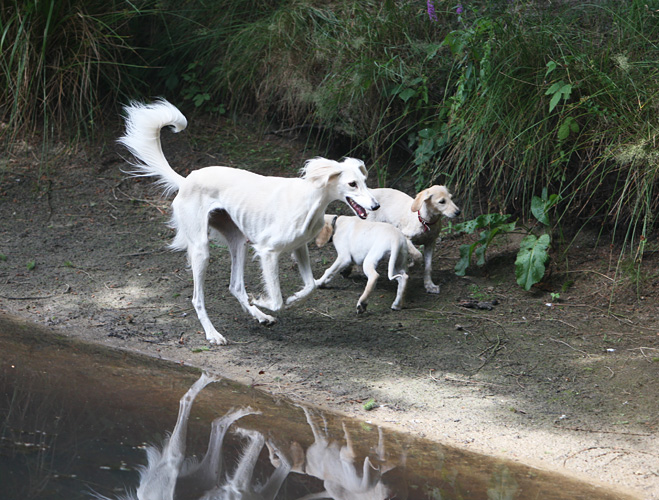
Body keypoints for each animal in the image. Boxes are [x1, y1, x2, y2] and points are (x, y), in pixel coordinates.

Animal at [116, 100, 378, 346]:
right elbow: (277, 299)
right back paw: (214, 334)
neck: (310, 198)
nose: (375, 206)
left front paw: (291, 299)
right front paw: (263, 300)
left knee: (235, 286)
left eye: (365, 181)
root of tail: (186, 179)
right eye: (352, 184)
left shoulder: (299, 247)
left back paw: (259, 316)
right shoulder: (268, 251)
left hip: (238, 241)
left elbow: (310, 286)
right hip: (201, 249)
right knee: (197, 298)